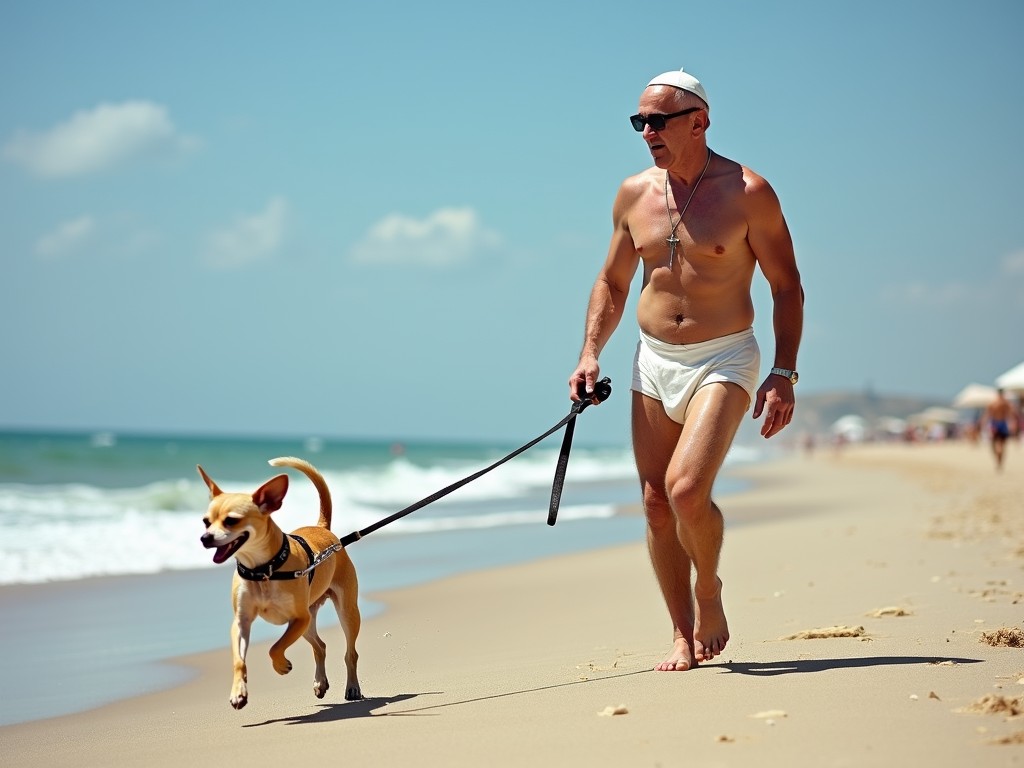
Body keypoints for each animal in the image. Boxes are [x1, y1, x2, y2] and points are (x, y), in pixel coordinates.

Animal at [197, 454, 362, 712]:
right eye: (206, 522)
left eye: (231, 521)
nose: (205, 538)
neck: (263, 570)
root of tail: (322, 528)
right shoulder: (242, 623)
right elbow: (239, 660)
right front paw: (238, 692)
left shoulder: (298, 619)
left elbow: (275, 647)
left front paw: (281, 665)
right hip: (308, 622)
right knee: (320, 646)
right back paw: (320, 682)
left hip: (344, 612)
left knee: (350, 653)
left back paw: (352, 687)